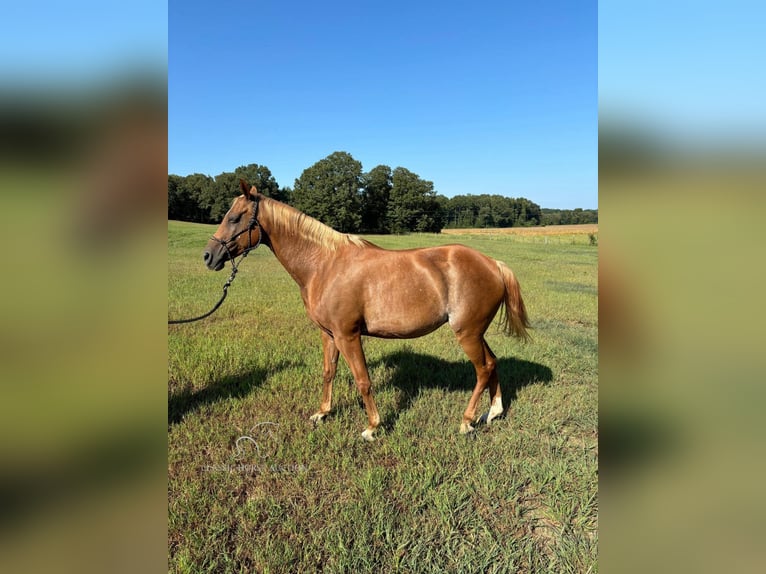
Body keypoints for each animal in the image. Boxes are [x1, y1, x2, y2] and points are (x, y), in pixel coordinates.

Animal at [202, 182, 528, 444]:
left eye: (234, 217)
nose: (209, 256)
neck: (324, 264)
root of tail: (494, 264)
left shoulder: (348, 335)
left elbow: (363, 380)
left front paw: (372, 427)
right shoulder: (329, 334)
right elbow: (329, 372)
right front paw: (322, 413)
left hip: (467, 333)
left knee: (482, 369)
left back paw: (466, 421)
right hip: (475, 332)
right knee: (492, 362)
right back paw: (493, 412)